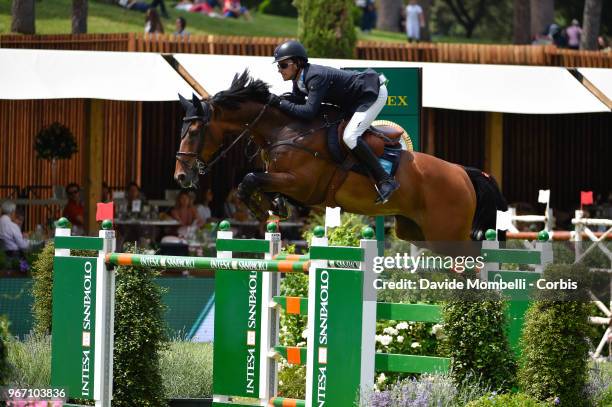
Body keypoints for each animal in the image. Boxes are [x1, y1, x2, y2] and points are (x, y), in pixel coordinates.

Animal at [173, 71, 506, 252]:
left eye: (194, 131)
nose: (181, 176)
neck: (286, 129)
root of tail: (462, 173)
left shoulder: (302, 184)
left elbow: (250, 179)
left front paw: (261, 208)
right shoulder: (283, 180)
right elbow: (255, 184)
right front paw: (273, 207)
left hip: (445, 234)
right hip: (418, 232)